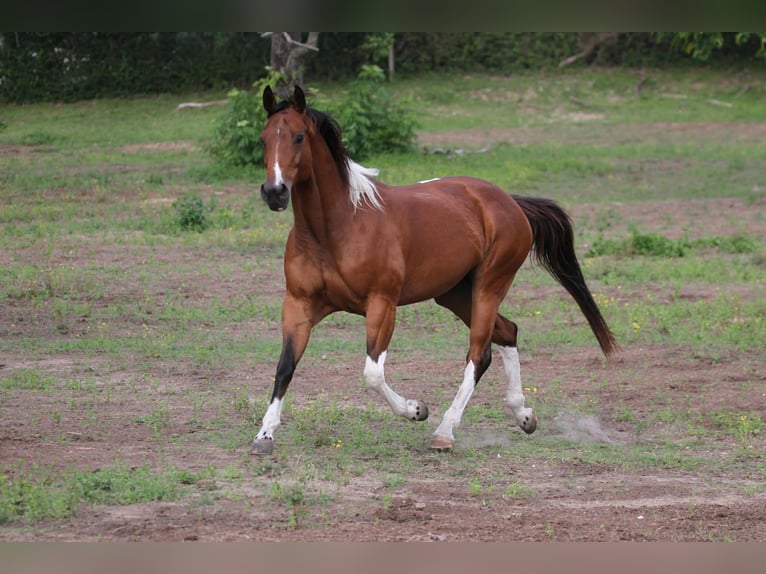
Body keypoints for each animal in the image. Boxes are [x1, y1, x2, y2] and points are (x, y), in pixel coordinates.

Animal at [250, 84, 618, 454]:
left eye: (298, 137)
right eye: (263, 139)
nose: (274, 192)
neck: (337, 227)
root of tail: (510, 202)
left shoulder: (382, 305)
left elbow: (373, 373)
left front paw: (416, 410)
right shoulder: (299, 305)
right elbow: (285, 366)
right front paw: (264, 435)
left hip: (489, 287)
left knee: (479, 354)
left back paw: (445, 431)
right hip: (454, 294)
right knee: (508, 332)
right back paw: (523, 415)